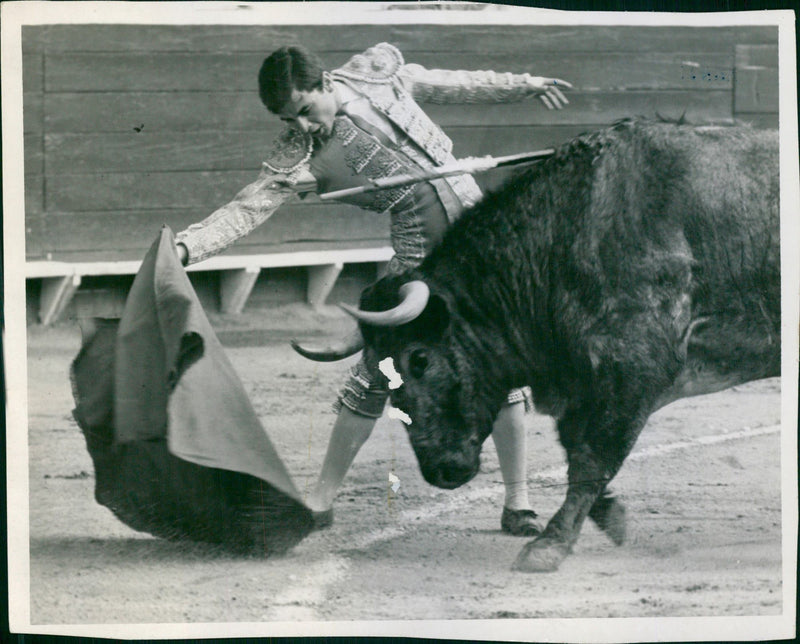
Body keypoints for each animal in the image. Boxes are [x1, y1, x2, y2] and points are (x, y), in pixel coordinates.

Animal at [308, 118, 780, 572]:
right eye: (378, 364)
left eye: (419, 360)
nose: (442, 471)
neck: (565, 237)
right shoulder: (584, 385)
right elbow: (574, 448)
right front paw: (608, 515)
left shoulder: (636, 369)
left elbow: (593, 456)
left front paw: (549, 545)